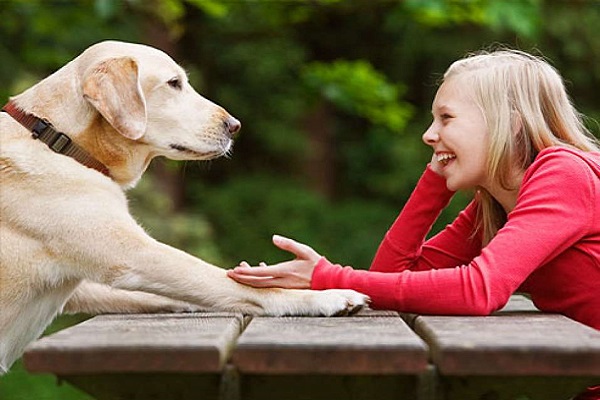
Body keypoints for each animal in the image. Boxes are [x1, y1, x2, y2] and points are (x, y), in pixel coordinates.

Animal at [0, 41, 368, 376]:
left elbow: (187, 292)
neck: (58, 138)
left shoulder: (86, 287)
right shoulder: (135, 255)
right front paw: (326, 297)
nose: (235, 125)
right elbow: (228, 282)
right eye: (174, 83)